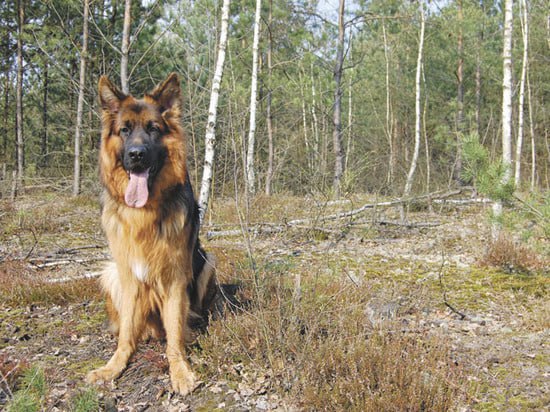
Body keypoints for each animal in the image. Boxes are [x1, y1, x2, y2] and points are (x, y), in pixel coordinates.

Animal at [85, 72, 217, 394]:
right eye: (124, 130)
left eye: (153, 129)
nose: (136, 155)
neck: (143, 212)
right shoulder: (129, 276)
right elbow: (125, 335)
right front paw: (113, 366)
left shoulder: (175, 280)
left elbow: (175, 337)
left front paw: (179, 370)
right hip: (111, 273)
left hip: (208, 262)